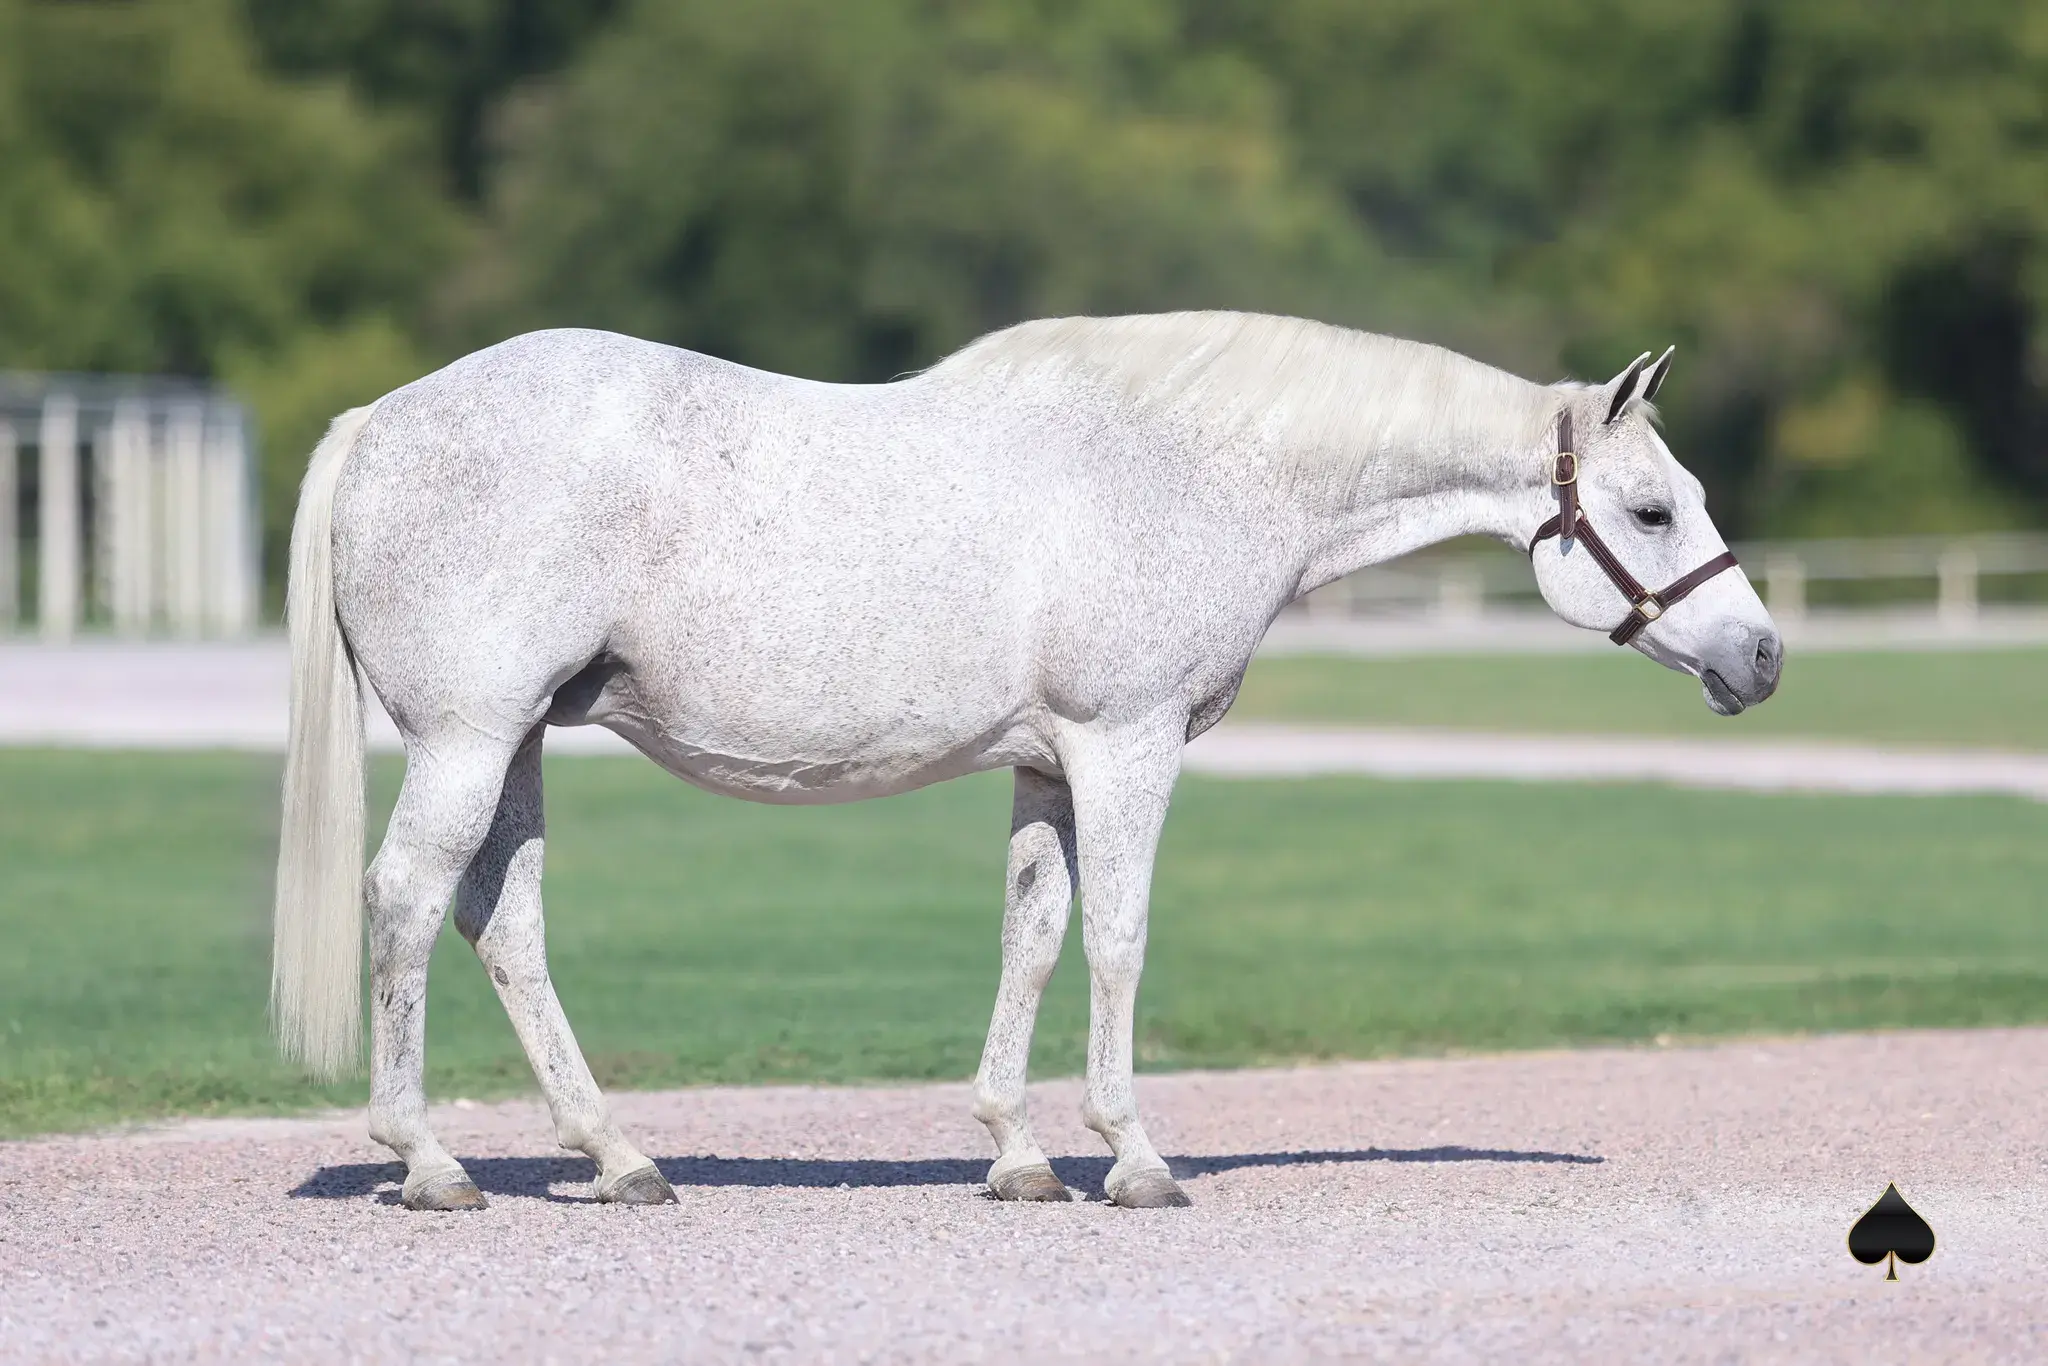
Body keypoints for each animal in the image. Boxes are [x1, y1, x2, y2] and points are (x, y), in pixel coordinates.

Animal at [272, 311, 1781, 1211]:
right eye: (1652, 508)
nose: (1762, 656)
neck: (1191, 467)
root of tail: (381, 420)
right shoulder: (1128, 746)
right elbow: (1116, 936)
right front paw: (1134, 1155)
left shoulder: (1051, 765)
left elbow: (1034, 934)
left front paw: (1015, 1149)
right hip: (471, 739)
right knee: (407, 903)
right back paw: (429, 1162)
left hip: (519, 741)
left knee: (501, 922)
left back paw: (618, 1157)